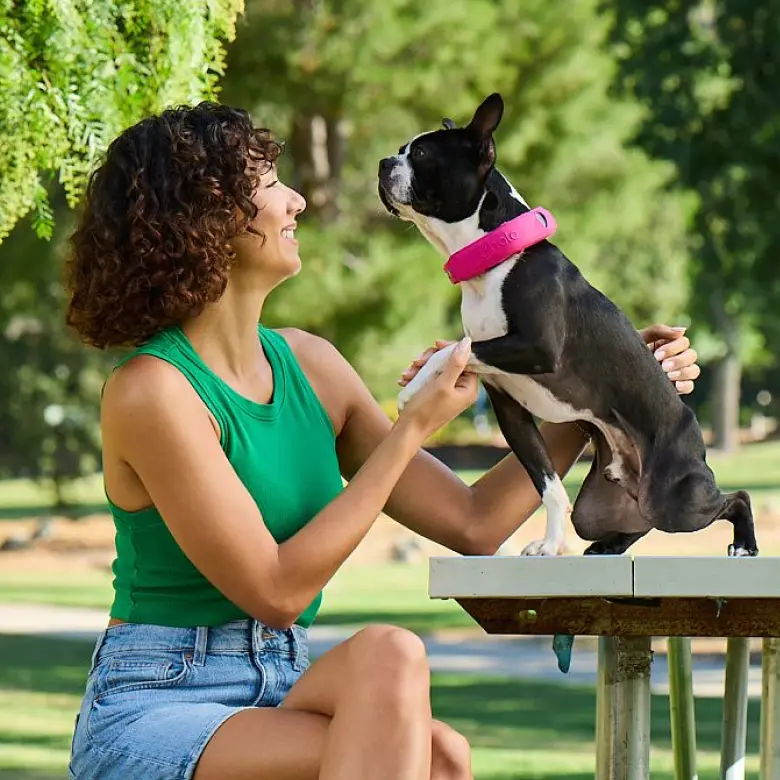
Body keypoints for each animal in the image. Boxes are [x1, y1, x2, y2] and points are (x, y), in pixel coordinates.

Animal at [378, 93, 756, 560]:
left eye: (423, 155)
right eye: (402, 149)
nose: (383, 162)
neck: (497, 256)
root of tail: (698, 444)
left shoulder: (537, 347)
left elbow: (456, 347)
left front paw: (413, 388)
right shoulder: (508, 406)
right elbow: (550, 486)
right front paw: (550, 544)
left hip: (677, 499)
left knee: (735, 498)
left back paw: (744, 545)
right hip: (602, 507)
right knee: (638, 521)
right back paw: (609, 546)